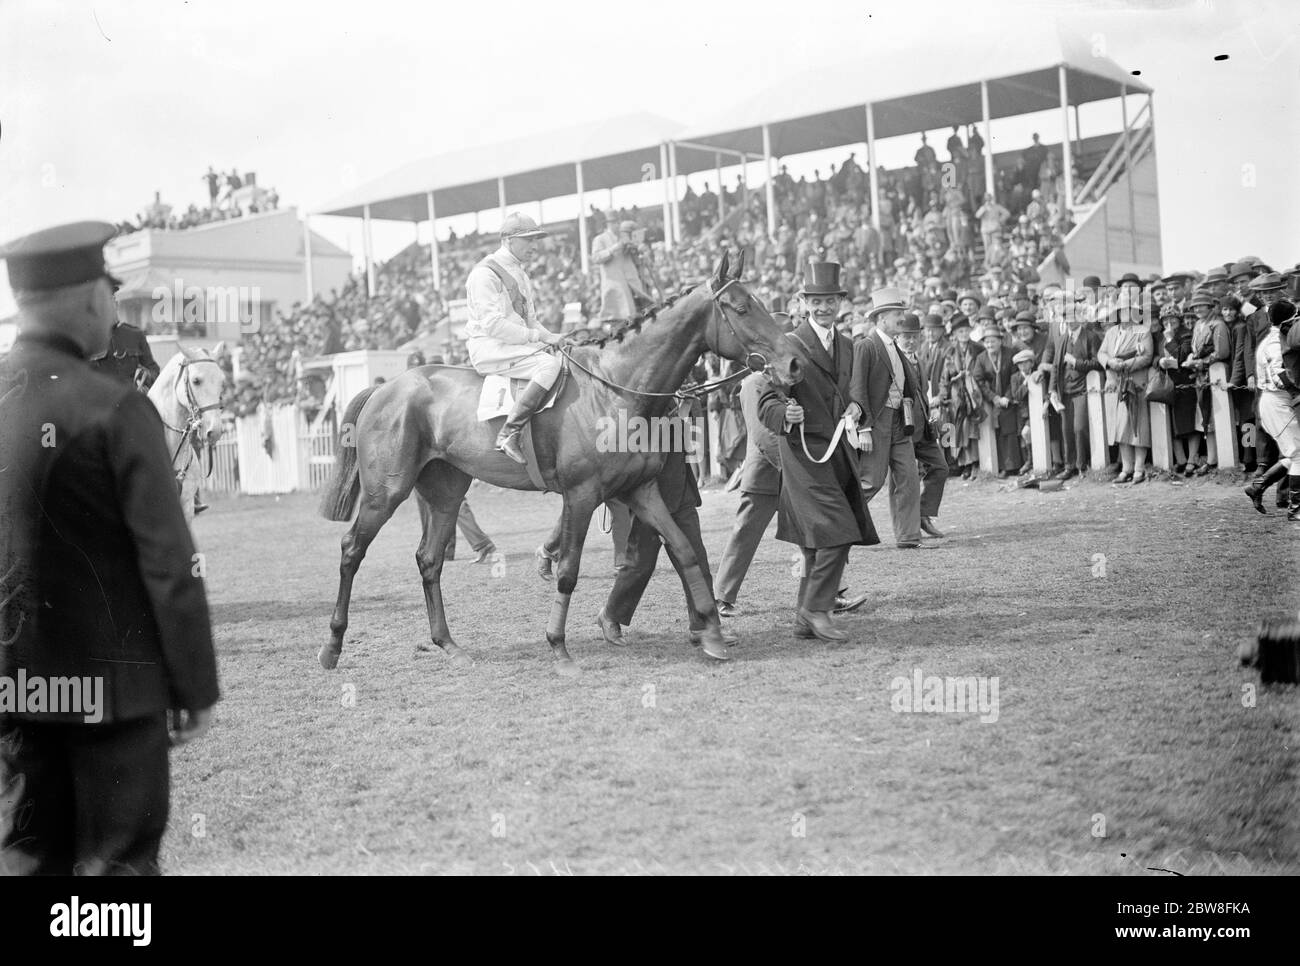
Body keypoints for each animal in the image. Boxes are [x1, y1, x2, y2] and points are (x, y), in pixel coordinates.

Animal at [315, 253, 800, 676]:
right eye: (743, 308)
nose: (793, 363)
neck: (615, 388)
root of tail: (385, 388)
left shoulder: (640, 491)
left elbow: (684, 550)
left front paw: (713, 634)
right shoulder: (581, 496)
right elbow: (568, 572)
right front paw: (559, 648)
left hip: (446, 492)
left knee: (429, 559)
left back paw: (448, 644)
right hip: (386, 492)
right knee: (351, 550)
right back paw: (332, 645)